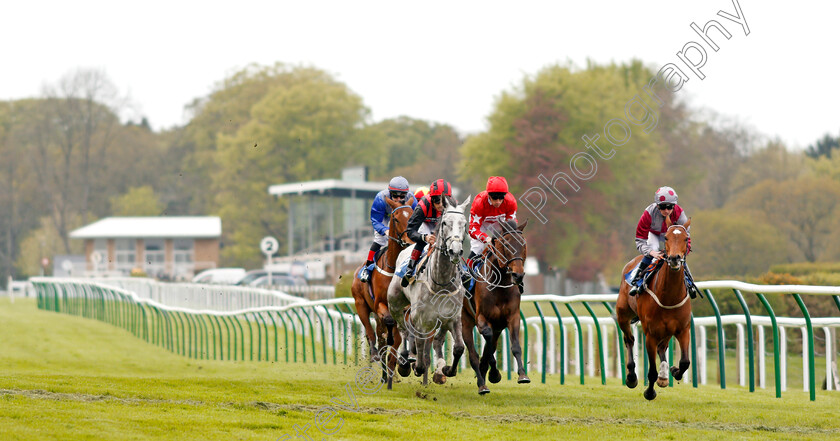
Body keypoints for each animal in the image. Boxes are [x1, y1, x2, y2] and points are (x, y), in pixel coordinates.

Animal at [348, 197, 414, 364]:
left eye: (412, 217)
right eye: (395, 218)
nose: (410, 241)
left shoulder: (405, 307)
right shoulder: (379, 304)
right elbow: (388, 322)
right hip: (360, 304)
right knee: (371, 330)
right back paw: (375, 352)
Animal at [388, 196, 472, 384]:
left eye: (464, 224)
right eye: (445, 223)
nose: (455, 251)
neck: (441, 282)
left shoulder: (453, 317)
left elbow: (459, 347)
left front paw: (447, 370)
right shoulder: (421, 318)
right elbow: (419, 343)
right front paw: (416, 366)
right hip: (395, 303)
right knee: (403, 329)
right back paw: (405, 360)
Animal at [462, 218, 528, 394]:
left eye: (523, 244)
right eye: (506, 244)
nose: (518, 275)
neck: (500, 285)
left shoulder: (512, 317)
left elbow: (514, 346)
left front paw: (522, 375)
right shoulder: (481, 319)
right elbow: (488, 344)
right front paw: (494, 373)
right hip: (464, 321)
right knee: (473, 354)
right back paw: (482, 385)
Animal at [612, 218, 692, 400]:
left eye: (686, 239)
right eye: (667, 238)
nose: (674, 258)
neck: (669, 296)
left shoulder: (683, 329)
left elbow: (685, 362)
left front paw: (674, 371)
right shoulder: (650, 334)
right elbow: (651, 372)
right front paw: (649, 392)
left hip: (668, 330)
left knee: (662, 348)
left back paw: (664, 375)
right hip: (623, 315)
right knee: (629, 340)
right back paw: (631, 377)